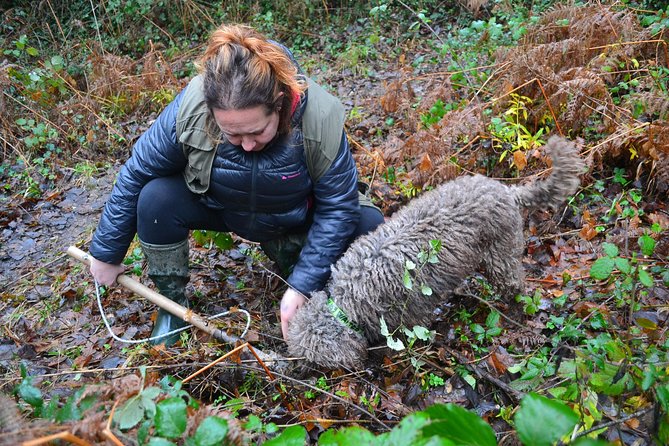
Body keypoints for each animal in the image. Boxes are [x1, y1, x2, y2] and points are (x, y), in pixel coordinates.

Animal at [286, 136, 584, 370]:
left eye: (314, 359)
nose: (300, 371)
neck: (349, 300)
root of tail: (505, 191)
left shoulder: (411, 310)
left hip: (501, 255)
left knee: (513, 283)